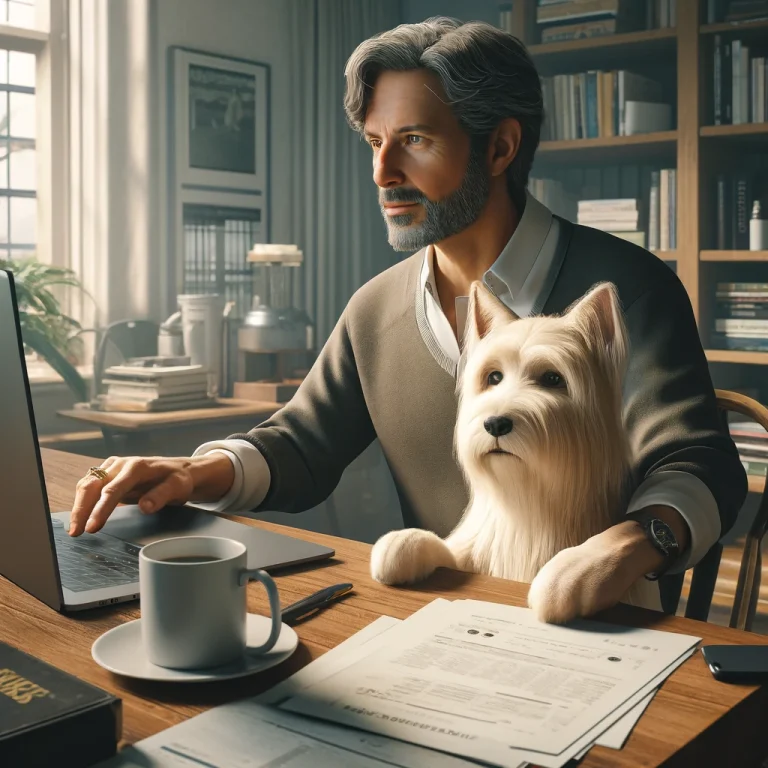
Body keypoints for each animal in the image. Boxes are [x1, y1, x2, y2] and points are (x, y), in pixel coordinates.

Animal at [372, 282, 660, 624]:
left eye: (553, 378)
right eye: (494, 377)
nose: (495, 423)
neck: (530, 501)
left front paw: (571, 576)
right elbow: (446, 552)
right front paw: (403, 543)